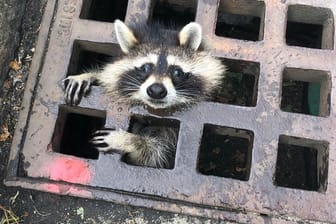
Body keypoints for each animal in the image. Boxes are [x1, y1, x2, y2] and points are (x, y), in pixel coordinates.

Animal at [63, 20, 226, 168]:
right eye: (145, 68)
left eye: (176, 71)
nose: (156, 90)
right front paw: (90, 75)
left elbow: (155, 154)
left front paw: (130, 140)